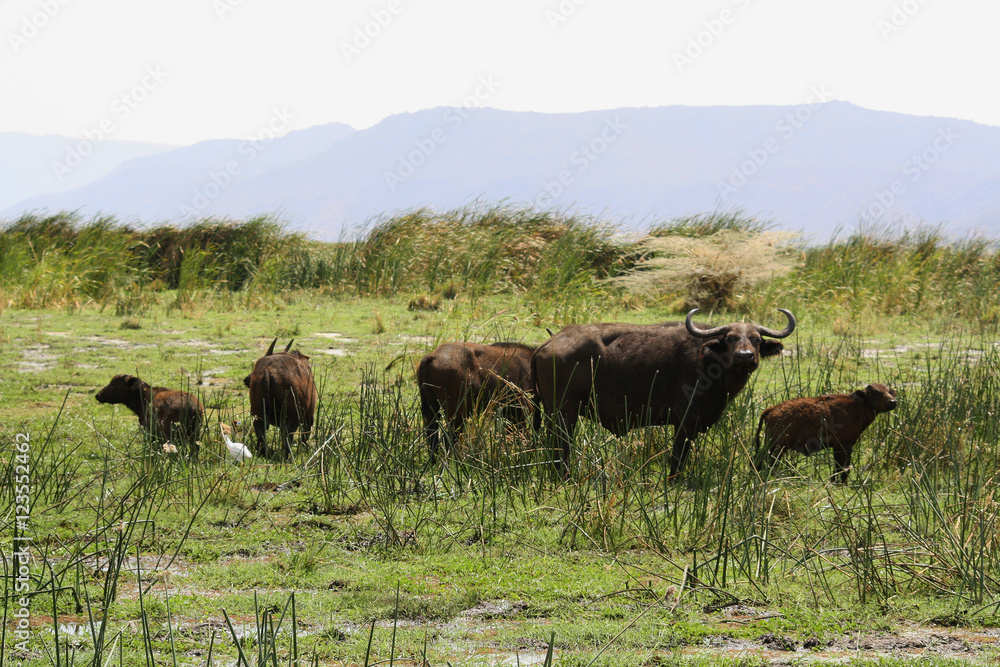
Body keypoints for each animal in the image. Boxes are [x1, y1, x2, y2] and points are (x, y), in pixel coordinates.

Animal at [536, 310, 792, 478]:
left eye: (757, 339)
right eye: (729, 338)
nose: (745, 356)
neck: (709, 362)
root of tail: (548, 343)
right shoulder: (685, 423)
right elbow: (678, 458)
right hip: (564, 414)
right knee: (561, 445)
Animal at [752, 384, 900, 482]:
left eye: (890, 392)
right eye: (876, 393)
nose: (893, 402)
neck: (856, 407)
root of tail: (772, 409)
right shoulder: (843, 447)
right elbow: (841, 467)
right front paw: (838, 483)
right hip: (775, 446)